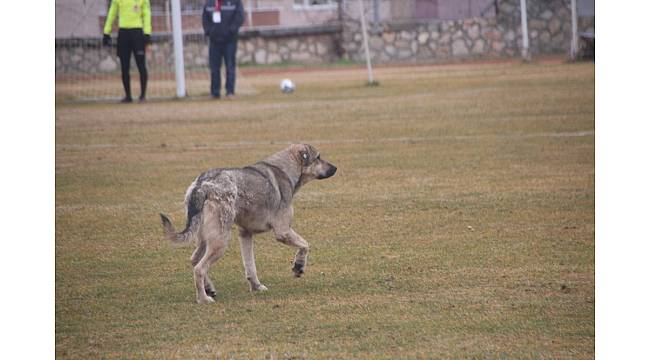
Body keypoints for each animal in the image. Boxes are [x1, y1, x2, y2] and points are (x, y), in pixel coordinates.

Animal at [160, 143, 336, 304]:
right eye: (318, 157)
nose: (335, 168)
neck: (285, 170)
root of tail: (201, 186)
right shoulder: (283, 231)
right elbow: (305, 245)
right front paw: (298, 266)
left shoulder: (245, 234)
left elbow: (250, 266)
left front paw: (256, 287)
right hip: (220, 241)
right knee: (199, 269)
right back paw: (203, 298)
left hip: (205, 238)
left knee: (195, 260)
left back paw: (209, 288)